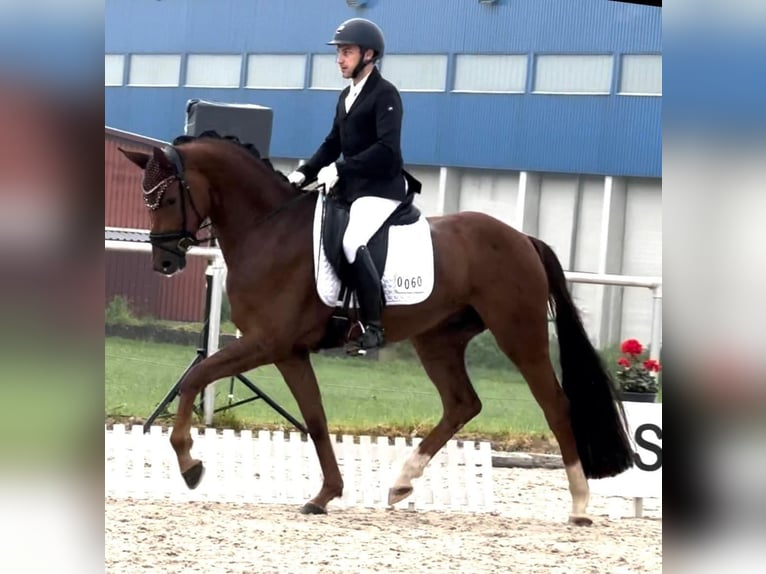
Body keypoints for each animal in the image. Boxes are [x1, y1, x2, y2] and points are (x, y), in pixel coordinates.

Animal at [121, 133, 636, 524]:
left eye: (168, 197)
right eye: (146, 198)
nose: (164, 262)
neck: (267, 231)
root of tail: (523, 238)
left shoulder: (266, 343)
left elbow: (196, 376)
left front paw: (190, 464)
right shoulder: (288, 351)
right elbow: (315, 419)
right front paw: (325, 495)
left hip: (518, 334)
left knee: (554, 404)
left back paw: (580, 504)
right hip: (437, 339)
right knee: (462, 404)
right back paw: (401, 482)